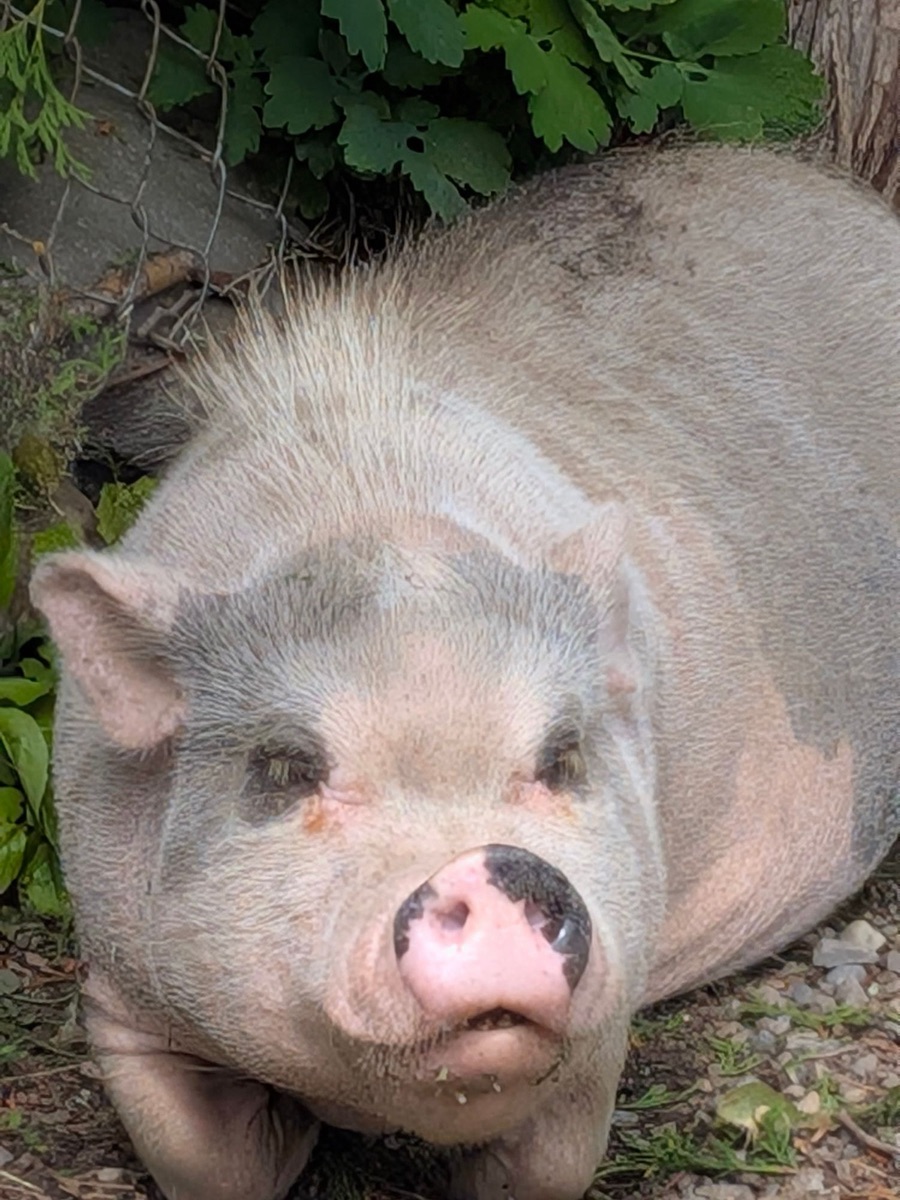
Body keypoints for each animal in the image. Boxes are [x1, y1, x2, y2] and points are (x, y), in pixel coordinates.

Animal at [31, 144, 899, 1200]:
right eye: (284, 769)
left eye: (562, 757)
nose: (496, 863)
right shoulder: (117, 993)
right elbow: (208, 1164)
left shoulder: (612, 995)